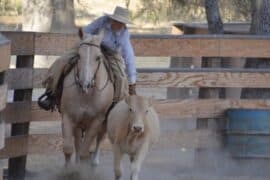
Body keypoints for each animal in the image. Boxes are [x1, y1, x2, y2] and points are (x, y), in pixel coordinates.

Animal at [60, 29, 114, 166]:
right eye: (79, 56)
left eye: (98, 57)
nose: (85, 83)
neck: (87, 95)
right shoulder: (68, 117)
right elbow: (68, 148)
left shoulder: (97, 120)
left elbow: (85, 151)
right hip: (79, 123)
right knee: (78, 143)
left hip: (103, 124)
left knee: (99, 139)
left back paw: (95, 161)